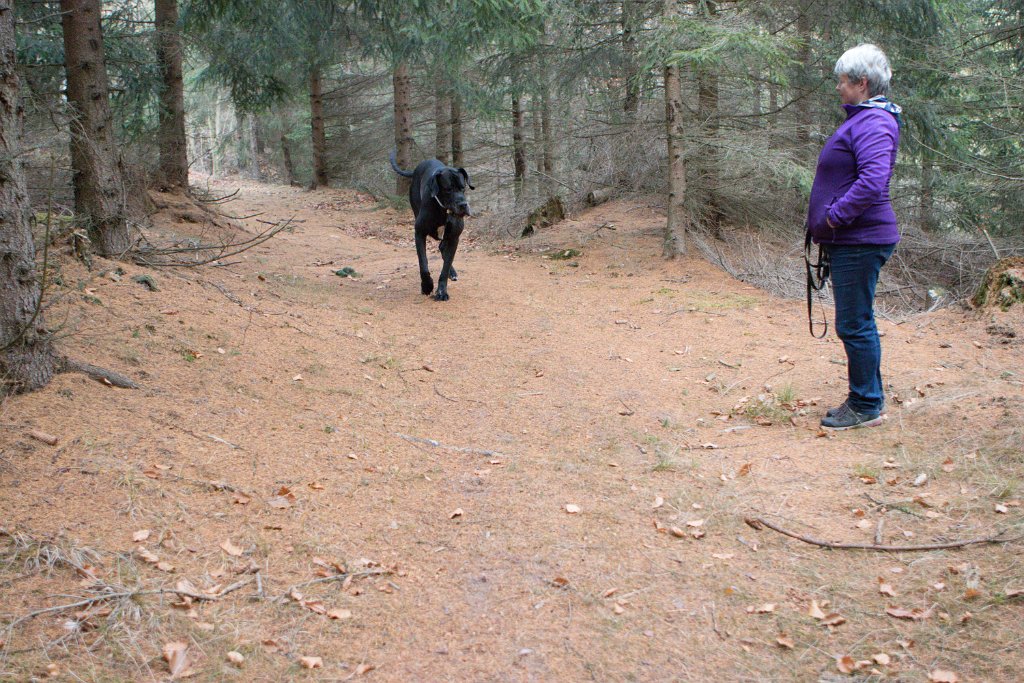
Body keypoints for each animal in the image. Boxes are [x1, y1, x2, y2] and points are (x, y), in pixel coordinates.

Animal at [389, 152, 473, 301]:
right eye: (448, 189)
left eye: (463, 187)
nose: (463, 205)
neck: (443, 210)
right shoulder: (419, 233)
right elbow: (423, 264)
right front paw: (427, 286)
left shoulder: (454, 237)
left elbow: (445, 268)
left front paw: (441, 291)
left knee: (443, 249)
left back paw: (452, 272)